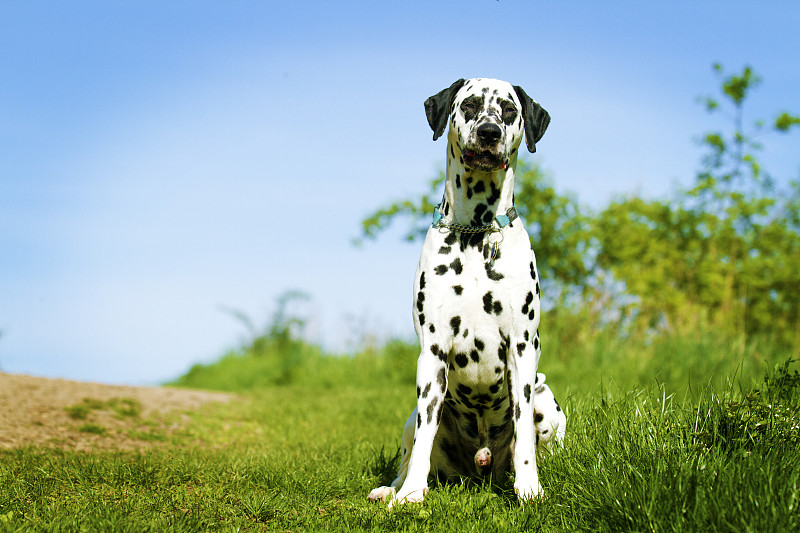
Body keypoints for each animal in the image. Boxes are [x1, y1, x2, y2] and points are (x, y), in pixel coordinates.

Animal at [366, 77, 564, 504]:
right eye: (470, 105)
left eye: (509, 110)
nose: (489, 133)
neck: (476, 233)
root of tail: (481, 464)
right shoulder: (433, 352)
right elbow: (424, 440)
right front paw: (411, 494)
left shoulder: (522, 350)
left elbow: (523, 433)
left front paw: (529, 488)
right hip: (410, 417)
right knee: (410, 450)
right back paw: (391, 489)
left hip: (546, 399)